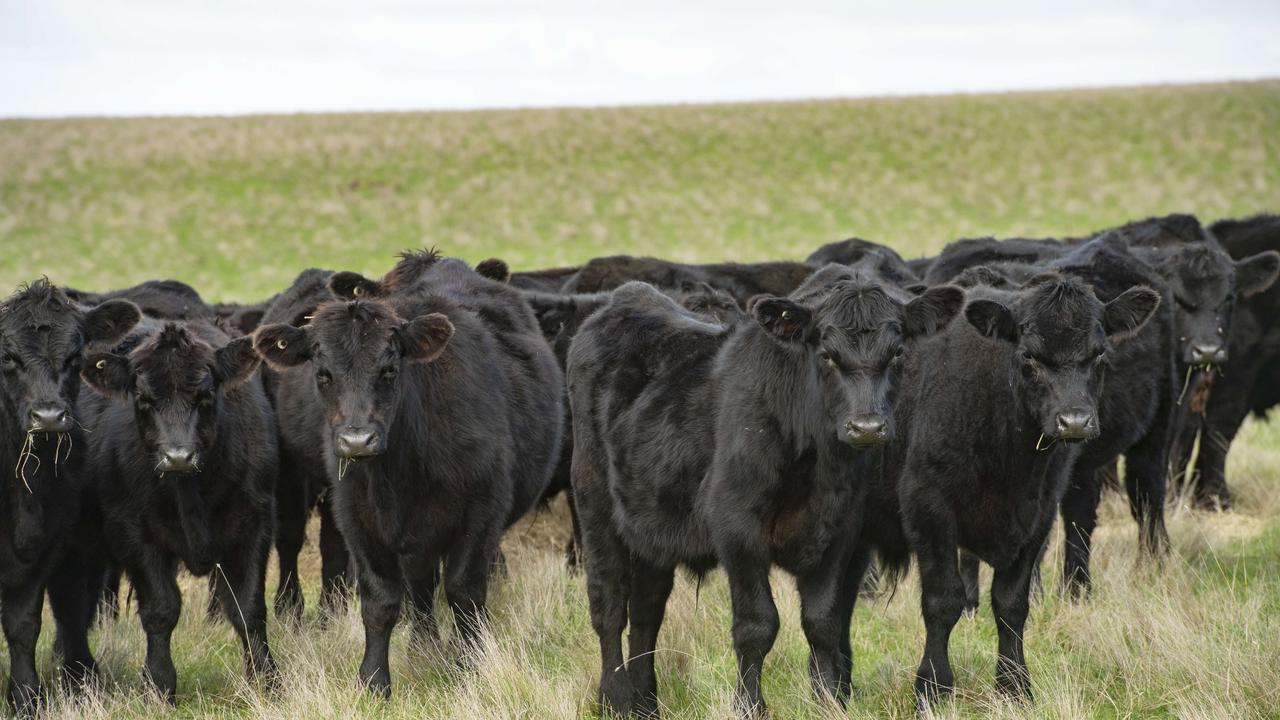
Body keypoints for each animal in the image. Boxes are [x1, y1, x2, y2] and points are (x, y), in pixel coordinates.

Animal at [0, 278, 140, 707]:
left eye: (75, 356)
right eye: (8, 356)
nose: (48, 416)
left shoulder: (48, 545)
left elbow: (24, 623)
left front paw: (25, 697)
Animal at [252, 249, 563, 691]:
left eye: (389, 368)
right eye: (322, 373)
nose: (357, 440)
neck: (401, 472)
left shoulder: (481, 512)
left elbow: (464, 592)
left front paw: (469, 666)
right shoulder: (356, 518)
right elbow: (380, 600)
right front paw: (373, 681)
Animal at [570, 266, 962, 712]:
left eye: (897, 353)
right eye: (826, 354)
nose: (866, 427)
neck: (815, 463)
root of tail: (628, 297)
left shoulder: (841, 530)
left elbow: (823, 621)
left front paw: (828, 701)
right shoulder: (737, 529)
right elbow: (757, 625)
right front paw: (749, 705)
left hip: (650, 523)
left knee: (647, 610)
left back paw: (645, 702)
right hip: (594, 505)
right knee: (608, 604)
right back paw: (614, 698)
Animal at [849, 274, 1162, 707]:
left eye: (1098, 355)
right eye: (1029, 357)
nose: (1074, 421)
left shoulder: (1039, 514)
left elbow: (1011, 604)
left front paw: (1015, 685)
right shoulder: (928, 508)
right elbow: (943, 600)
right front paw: (932, 686)